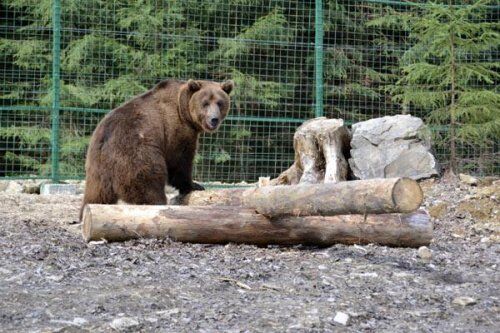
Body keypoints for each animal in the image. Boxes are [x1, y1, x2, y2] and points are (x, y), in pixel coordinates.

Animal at [79, 79, 233, 219]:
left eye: (220, 103)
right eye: (205, 103)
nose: (214, 119)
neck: (184, 112)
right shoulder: (177, 131)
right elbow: (180, 161)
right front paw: (194, 185)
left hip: (96, 170)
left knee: (96, 196)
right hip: (135, 153)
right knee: (149, 183)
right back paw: (158, 204)